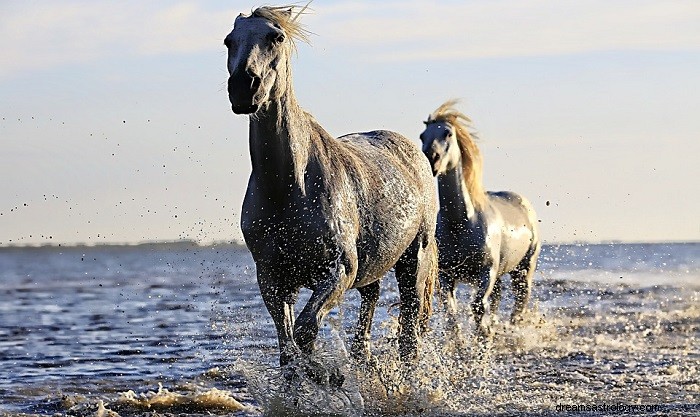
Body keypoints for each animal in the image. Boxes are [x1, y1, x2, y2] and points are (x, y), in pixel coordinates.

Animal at [418, 99, 540, 340]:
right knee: (498, 298)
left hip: (524, 269)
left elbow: (477, 307)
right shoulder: (447, 276)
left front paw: (483, 336)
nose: (431, 158)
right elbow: (451, 313)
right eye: (422, 136)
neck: (461, 223)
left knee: (519, 301)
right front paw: (460, 343)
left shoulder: (486, 273)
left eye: (447, 133)